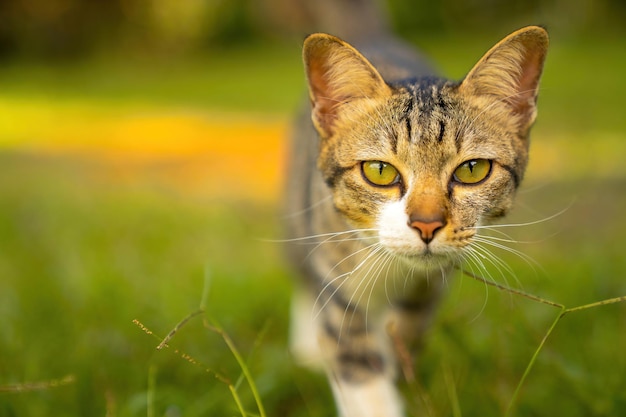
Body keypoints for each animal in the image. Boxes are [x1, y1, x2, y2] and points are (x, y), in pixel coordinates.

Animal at [282, 26, 544, 416]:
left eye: (472, 169)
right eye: (379, 171)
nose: (426, 224)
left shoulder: (432, 283)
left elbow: (407, 328)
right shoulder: (335, 270)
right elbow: (353, 355)